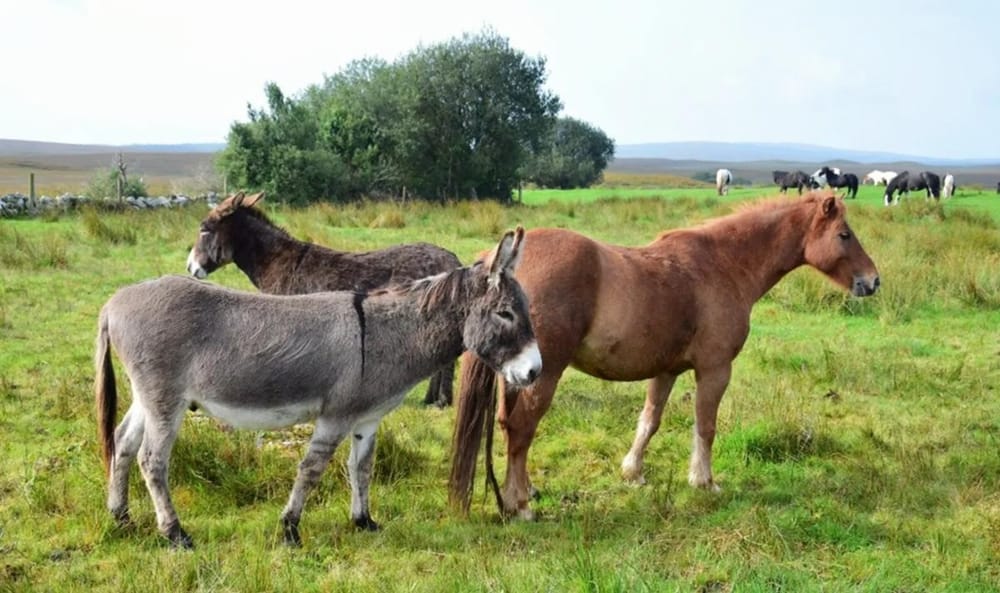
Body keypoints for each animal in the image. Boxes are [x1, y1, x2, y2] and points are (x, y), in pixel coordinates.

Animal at [97, 228, 541, 548]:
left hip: (148, 397)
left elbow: (361, 468)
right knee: (152, 460)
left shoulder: (367, 419)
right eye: (505, 313)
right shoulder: (336, 415)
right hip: (165, 398)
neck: (383, 335)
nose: (535, 371)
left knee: (123, 443)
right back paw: (175, 533)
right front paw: (289, 529)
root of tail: (115, 301)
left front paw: (364, 521)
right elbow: (311, 469)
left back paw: (120, 516)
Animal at [186, 191, 462, 407]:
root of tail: (451, 259)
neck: (275, 261)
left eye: (204, 230)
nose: (190, 267)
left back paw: (442, 401)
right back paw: (431, 399)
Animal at [449, 192, 879, 520]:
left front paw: (633, 472)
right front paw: (704, 482)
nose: (873, 281)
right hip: (543, 375)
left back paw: (524, 490)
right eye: (844, 235)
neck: (724, 265)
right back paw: (519, 505)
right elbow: (705, 427)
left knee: (509, 426)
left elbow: (649, 421)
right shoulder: (714, 370)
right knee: (522, 428)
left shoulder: (666, 370)